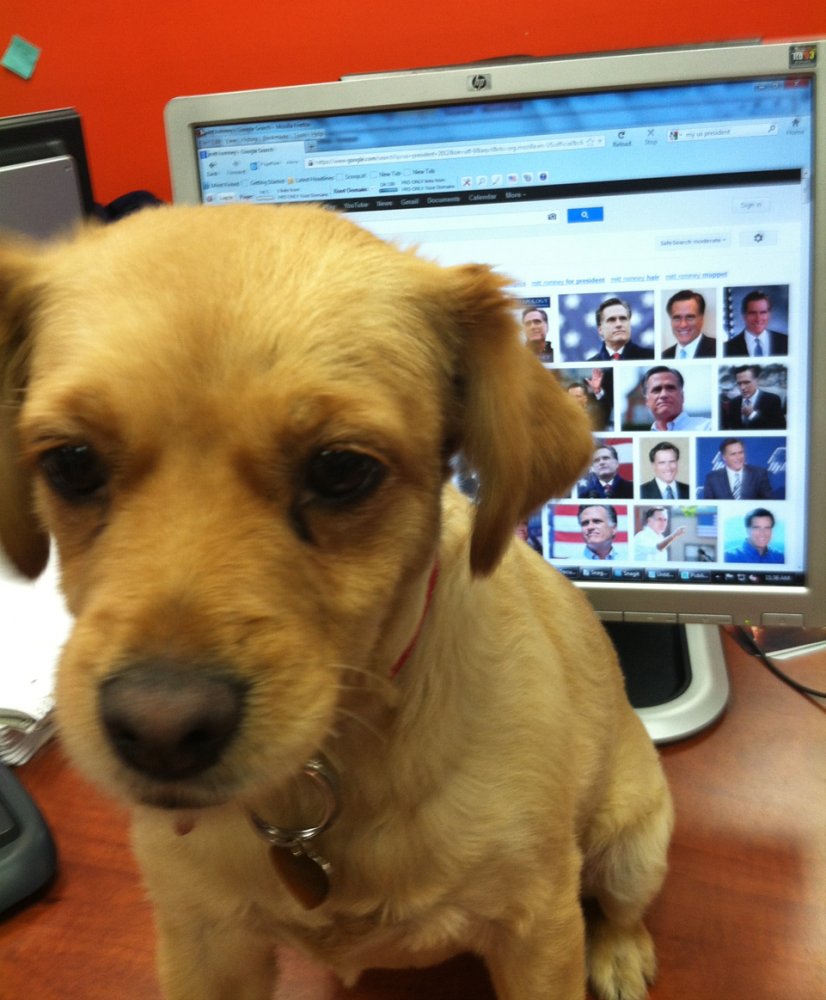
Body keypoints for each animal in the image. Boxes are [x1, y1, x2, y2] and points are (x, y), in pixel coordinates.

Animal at [0, 203, 668, 1000]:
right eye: (70, 462)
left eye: (343, 469)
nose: (160, 728)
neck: (323, 771)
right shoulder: (203, 942)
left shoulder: (538, 929)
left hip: (632, 847)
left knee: (621, 907)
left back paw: (621, 951)